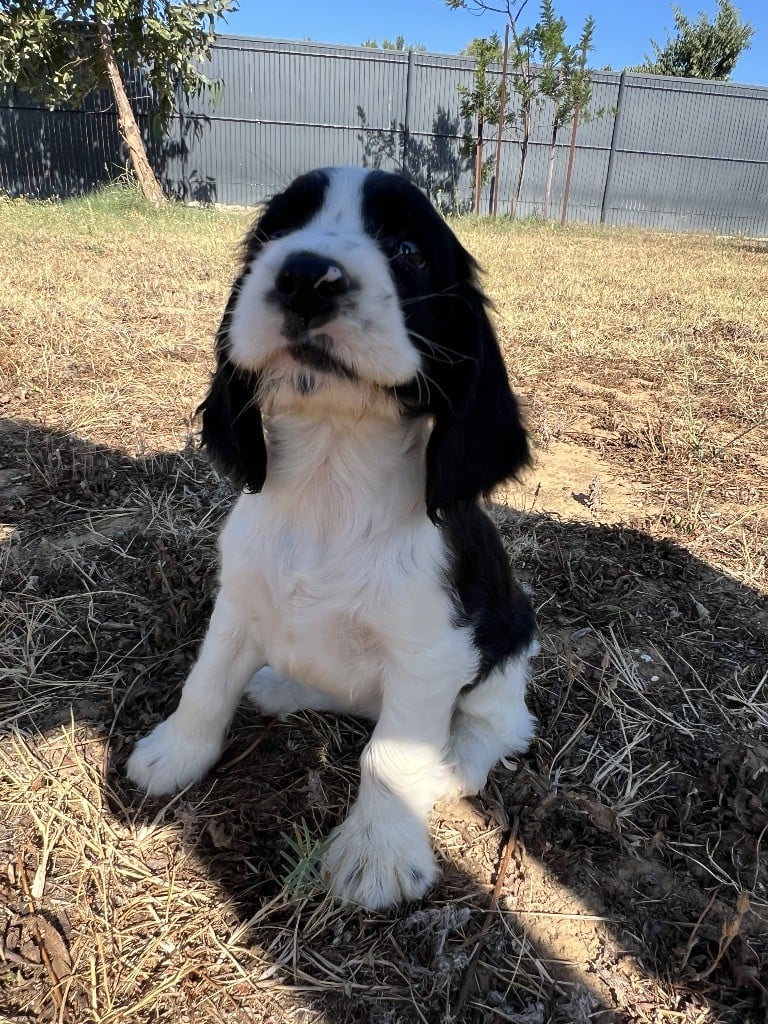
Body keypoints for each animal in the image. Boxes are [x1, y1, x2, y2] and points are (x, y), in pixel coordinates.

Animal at [127, 167, 537, 910]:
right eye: (274, 233)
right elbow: (206, 684)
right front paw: (174, 753)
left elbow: (392, 756)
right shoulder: (239, 602)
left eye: (407, 249)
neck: (331, 476)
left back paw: (454, 764)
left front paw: (379, 852)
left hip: (512, 639)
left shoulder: (430, 652)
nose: (305, 278)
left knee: (499, 723)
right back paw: (281, 687)